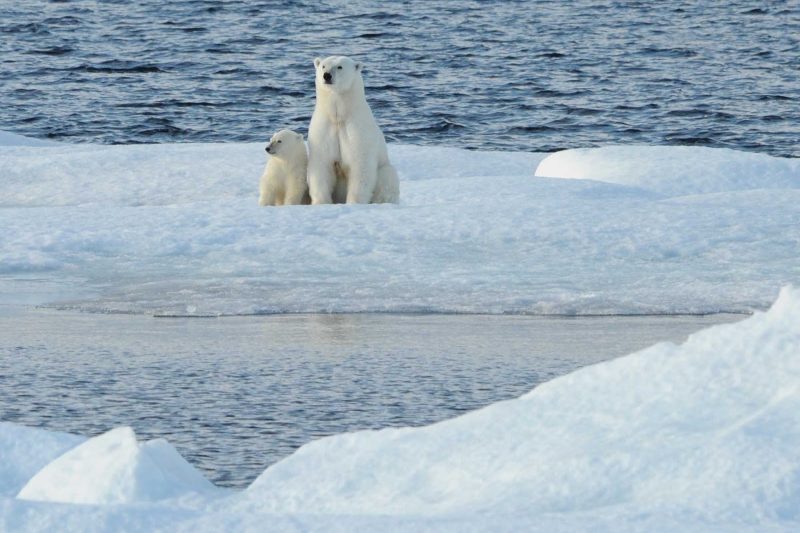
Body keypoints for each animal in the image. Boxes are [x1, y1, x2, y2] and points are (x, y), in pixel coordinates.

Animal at [307, 55, 400, 205]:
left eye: (339, 67)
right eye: (323, 66)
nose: (326, 76)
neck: (339, 117)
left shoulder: (357, 129)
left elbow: (360, 165)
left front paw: (354, 203)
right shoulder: (324, 130)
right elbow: (321, 166)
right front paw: (321, 202)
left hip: (385, 169)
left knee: (388, 176)